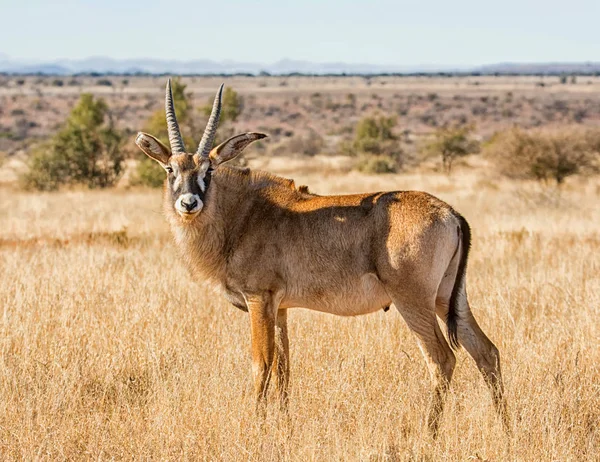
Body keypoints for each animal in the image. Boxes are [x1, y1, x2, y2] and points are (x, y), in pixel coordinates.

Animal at [134, 80, 508, 436]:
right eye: (170, 169)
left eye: (208, 171)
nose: (189, 203)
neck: (243, 214)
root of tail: (450, 213)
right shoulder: (280, 308)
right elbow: (283, 367)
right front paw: (283, 426)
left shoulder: (258, 299)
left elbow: (261, 363)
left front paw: (257, 426)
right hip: (448, 298)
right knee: (486, 351)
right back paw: (506, 427)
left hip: (413, 301)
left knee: (442, 359)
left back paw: (428, 435)